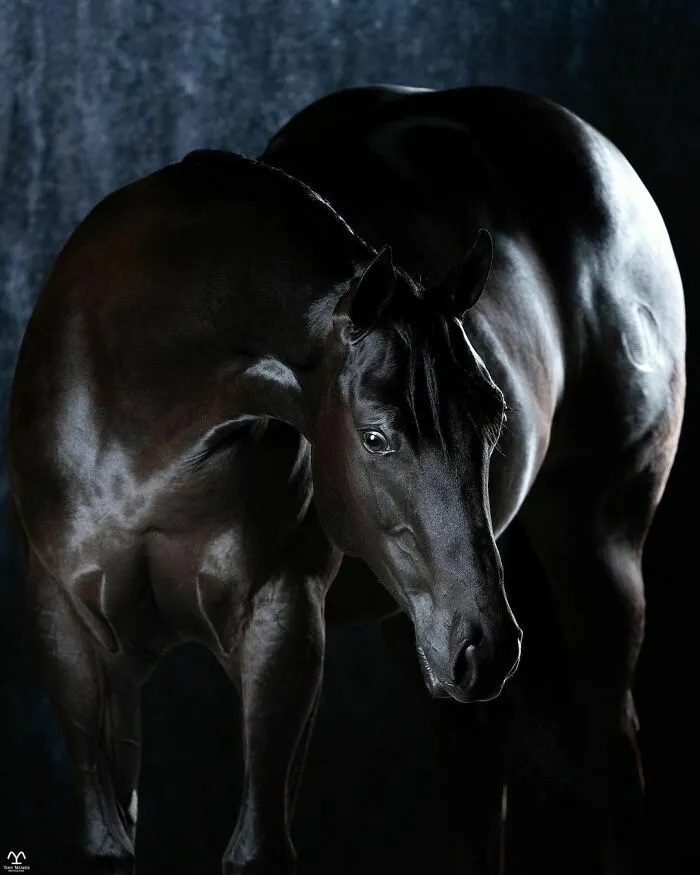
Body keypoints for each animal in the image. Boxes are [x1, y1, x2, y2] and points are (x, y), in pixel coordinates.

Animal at [6, 84, 684, 875]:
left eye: (494, 416)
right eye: (376, 436)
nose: (490, 644)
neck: (139, 419)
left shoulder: (282, 628)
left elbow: (258, 845)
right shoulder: (72, 636)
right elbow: (105, 839)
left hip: (592, 556)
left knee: (613, 767)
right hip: (427, 625)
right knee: (477, 772)